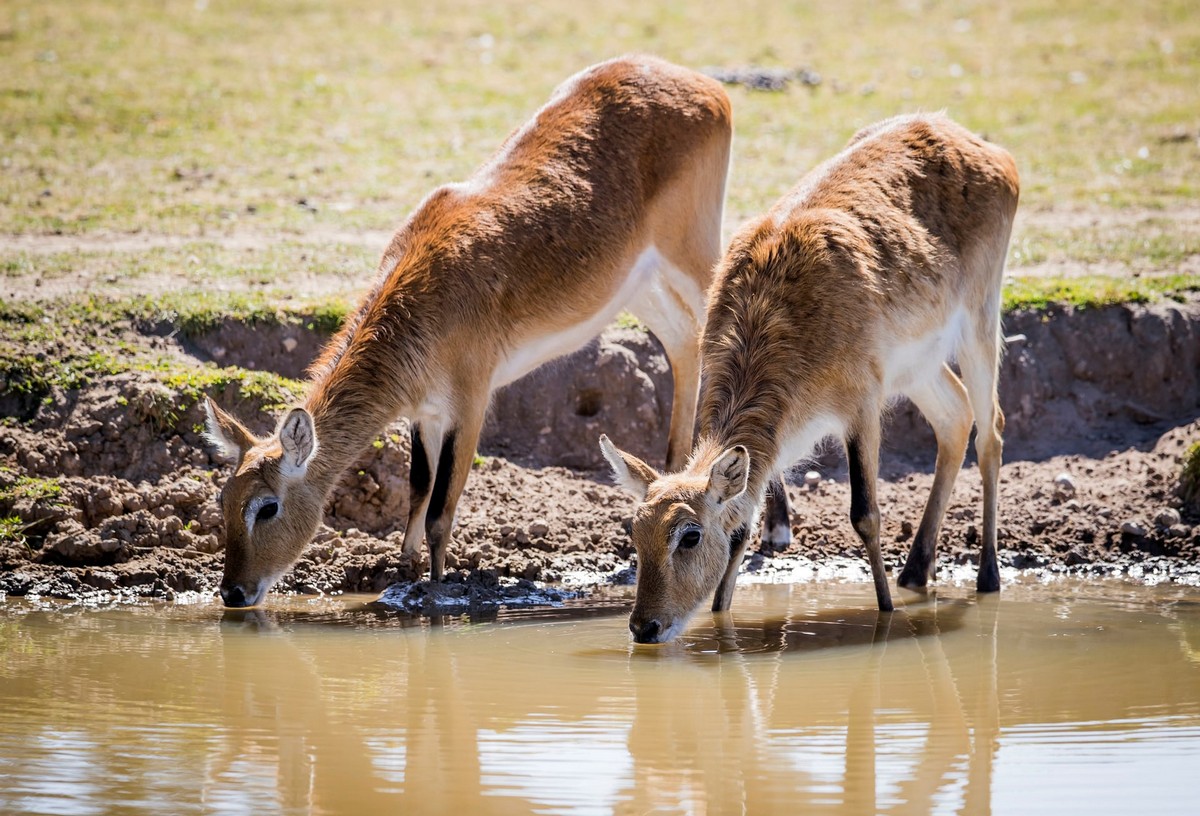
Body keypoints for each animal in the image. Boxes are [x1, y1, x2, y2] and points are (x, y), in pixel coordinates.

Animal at [198, 55, 734, 604]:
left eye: (267, 506)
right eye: (222, 497)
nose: (233, 592)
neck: (422, 295)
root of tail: (702, 84)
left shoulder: (471, 403)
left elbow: (441, 510)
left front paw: (436, 592)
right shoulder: (425, 412)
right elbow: (417, 489)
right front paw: (402, 572)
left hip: (692, 255)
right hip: (638, 286)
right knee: (684, 342)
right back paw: (672, 473)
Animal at [604, 111, 1017, 643]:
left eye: (689, 535)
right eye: (634, 532)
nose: (644, 626)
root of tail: (984, 147)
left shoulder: (863, 402)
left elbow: (865, 513)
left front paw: (885, 611)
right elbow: (745, 526)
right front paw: (722, 620)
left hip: (981, 315)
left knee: (992, 429)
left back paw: (987, 577)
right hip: (919, 364)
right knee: (956, 414)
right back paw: (915, 572)